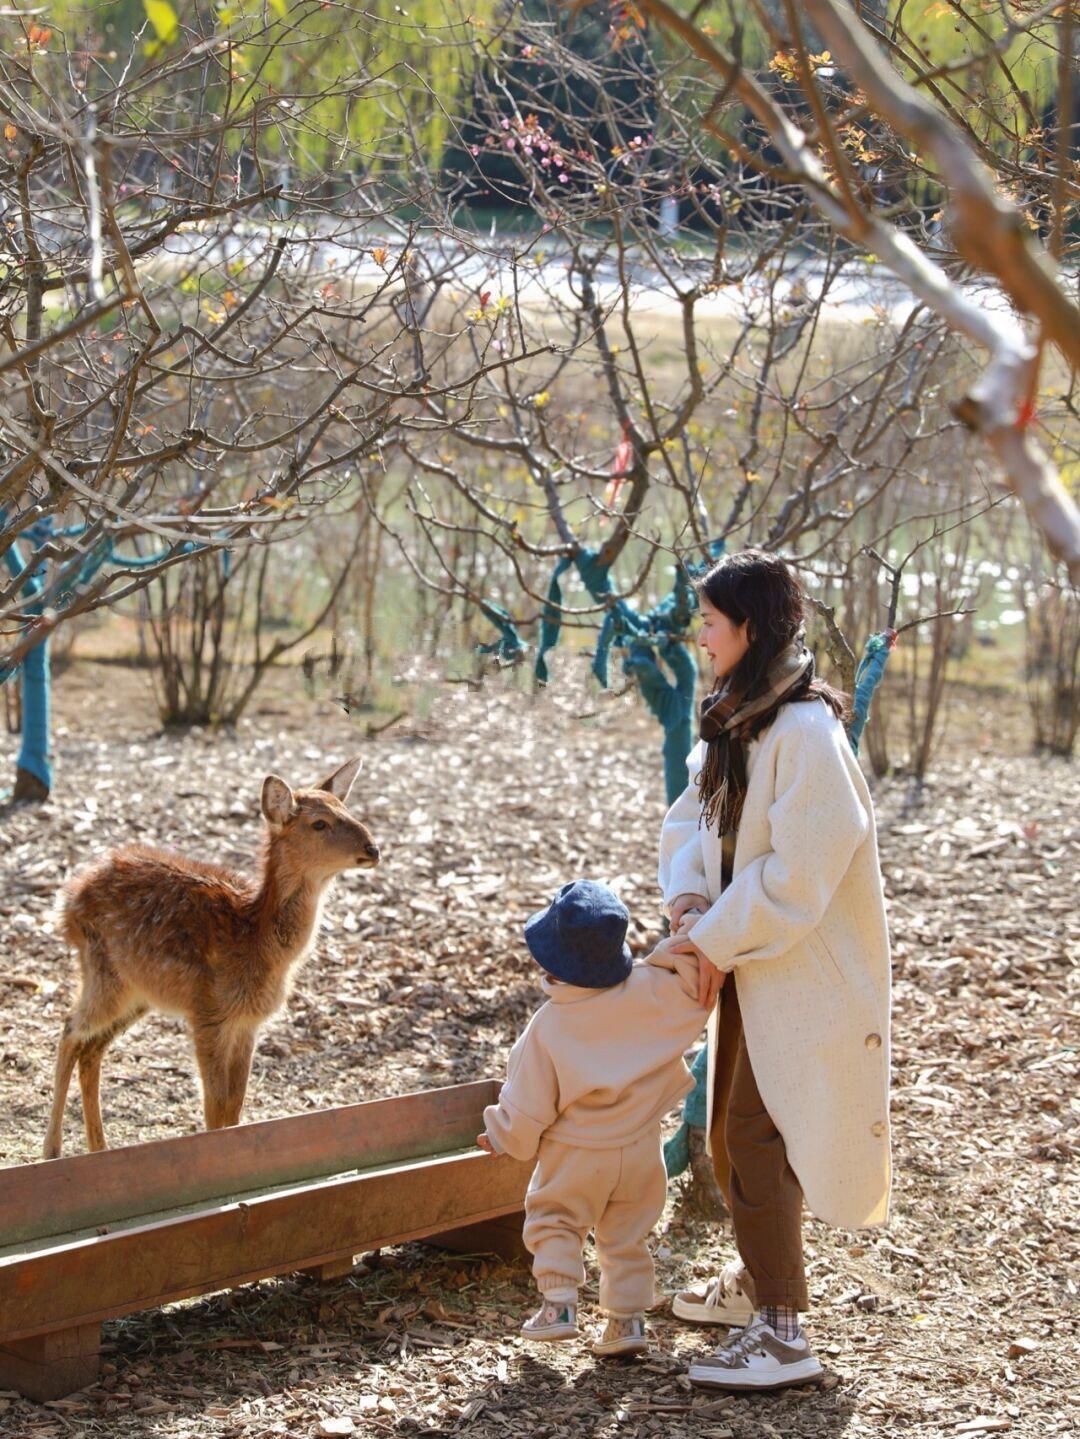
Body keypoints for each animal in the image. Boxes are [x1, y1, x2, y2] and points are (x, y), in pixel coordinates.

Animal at [43, 759, 379, 1162]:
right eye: (319, 823)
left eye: (346, 809)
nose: (374, 848)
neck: (255, 940)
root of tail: (68, 900)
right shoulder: (208, 1012)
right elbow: (215, 1105)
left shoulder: (248, 1022)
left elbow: (233, 1105)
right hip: (104, 973)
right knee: (69, 1031)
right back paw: (52, 1150)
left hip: (138, 993)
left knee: (91, 1049)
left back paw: (99, 1148)